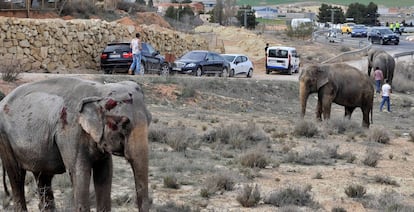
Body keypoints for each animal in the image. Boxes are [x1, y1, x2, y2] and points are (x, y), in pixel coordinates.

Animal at [0, 77, 152, 211]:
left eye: (150, 119)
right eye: (123, 124)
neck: (99, 91)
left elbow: (105, 172)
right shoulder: (71, 132)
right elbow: (80, 173)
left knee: (43, 177)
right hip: (5, 139)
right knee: (17, 176)